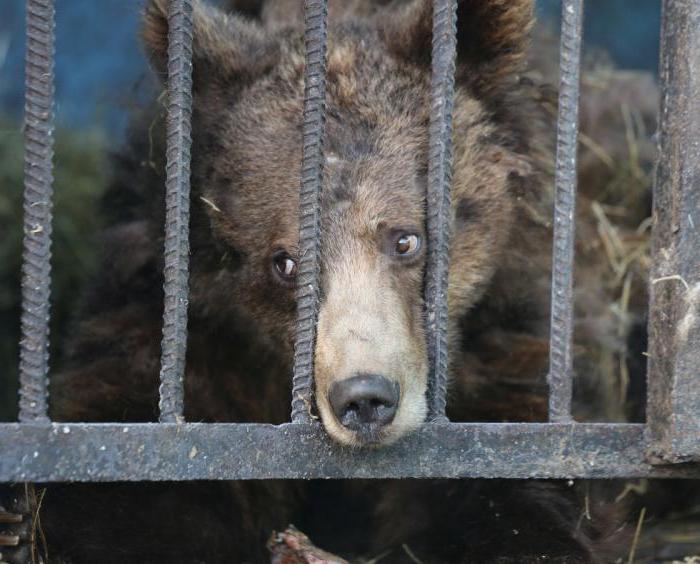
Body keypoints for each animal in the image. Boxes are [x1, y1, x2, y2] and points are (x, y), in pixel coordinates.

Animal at [23, 0, 652, 560]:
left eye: (405, 239)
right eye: (284, 261)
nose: (365, 398)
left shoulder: (510, 331)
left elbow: (518, 478)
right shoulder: (186, 336)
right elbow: (131, 480)